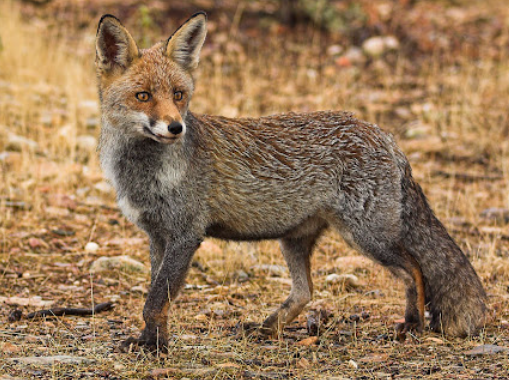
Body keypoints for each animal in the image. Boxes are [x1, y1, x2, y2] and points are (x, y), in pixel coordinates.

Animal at [93, 11, 486, 350]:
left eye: (178, 94)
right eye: (143, 96)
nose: (176, 127)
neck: (145, 175)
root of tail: (386, 136)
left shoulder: (186, 234)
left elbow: (156, 300)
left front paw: (154, 347)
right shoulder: (157, 235)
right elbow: (155, 297)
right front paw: (151, 340)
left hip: (367, 236)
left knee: (414, 270)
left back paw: (413, 324)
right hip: (295, 239)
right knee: (306, 291)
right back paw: (268, 327)